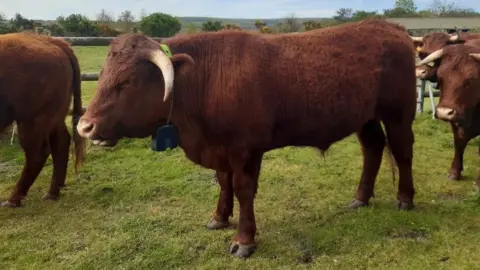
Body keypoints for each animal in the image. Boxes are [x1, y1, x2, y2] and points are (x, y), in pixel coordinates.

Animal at [0, 32, 85, 206]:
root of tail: (49, 40)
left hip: (31, 120)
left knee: (37, 153)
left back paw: (13, 200)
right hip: (54, 117)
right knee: (61, 142)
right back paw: (52, 193)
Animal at [77, 17, 418, 258]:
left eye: (127, 82)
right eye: (103, 76)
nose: (84, 126)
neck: (206, 79)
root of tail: (391, 28)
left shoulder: (245, 151)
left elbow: (243, 190)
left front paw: (244, 239)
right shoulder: (219, 149)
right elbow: (223, 182)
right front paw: (219, 217)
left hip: (399, 114)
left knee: (402, 150)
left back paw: (405, 199)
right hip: (366, 117)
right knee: (373, 149)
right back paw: (361, 197)